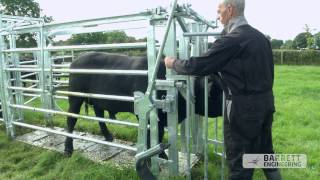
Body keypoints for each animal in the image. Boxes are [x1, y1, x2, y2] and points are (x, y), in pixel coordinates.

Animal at [63, 51, 221, 156]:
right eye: (218, 91)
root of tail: (76, 59)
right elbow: (155, 135)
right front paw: (159, 156)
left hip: (98, 100)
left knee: (100, 116)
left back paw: (108, 137)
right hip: (75, 97)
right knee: (71, 119)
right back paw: (68, 149)